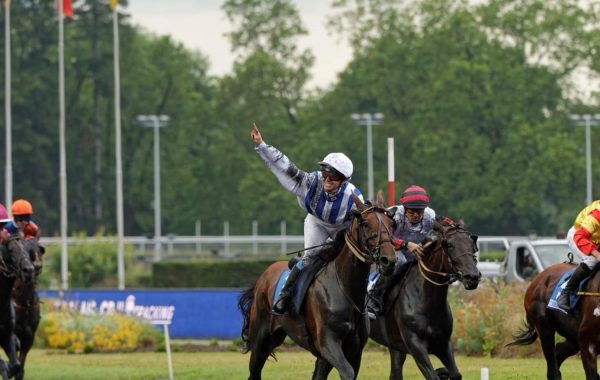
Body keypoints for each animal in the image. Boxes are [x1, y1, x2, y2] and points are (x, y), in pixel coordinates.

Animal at [238, 193, 398, 380]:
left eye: (391, 224)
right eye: (365, 223)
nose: (389, 260)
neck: (345, 289)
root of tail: (263, 276)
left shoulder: (353, 350)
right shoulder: (328, 343)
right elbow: (347, 372)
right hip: (261, 340)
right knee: (254, 371)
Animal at [368, 217, 480, 380]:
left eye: (471, 243)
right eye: (449, 244)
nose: (472, 277)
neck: (426, 301)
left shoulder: (443, 343)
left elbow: (455, 374)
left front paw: (444, 372)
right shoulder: (415, 344)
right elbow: (432, 376)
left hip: (395, 346)